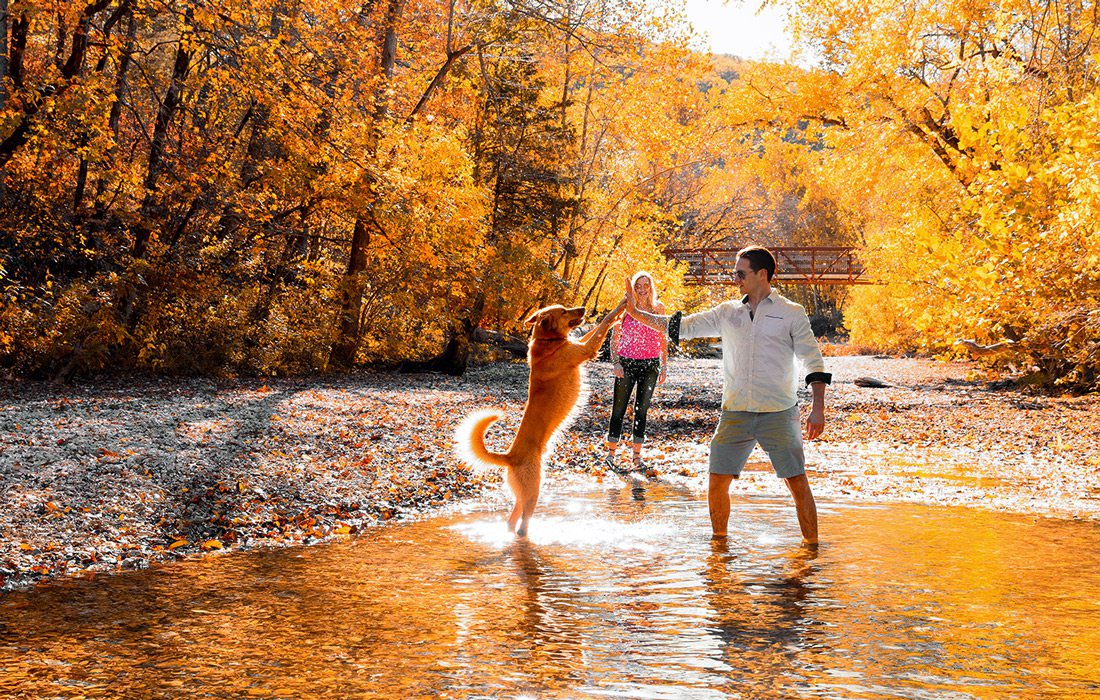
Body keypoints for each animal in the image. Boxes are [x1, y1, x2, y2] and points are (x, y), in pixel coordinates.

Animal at [457, 301, 629, 534]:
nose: (583, 309)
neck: (547, 341)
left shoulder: (579, 343)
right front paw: (621, 306)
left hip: (522, 495)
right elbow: (604, 322)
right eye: (564, 311)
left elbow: (593, 329)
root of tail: (509, 456)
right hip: (534, 491)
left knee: (512, 521)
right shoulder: (586, 349)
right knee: (522, 526)